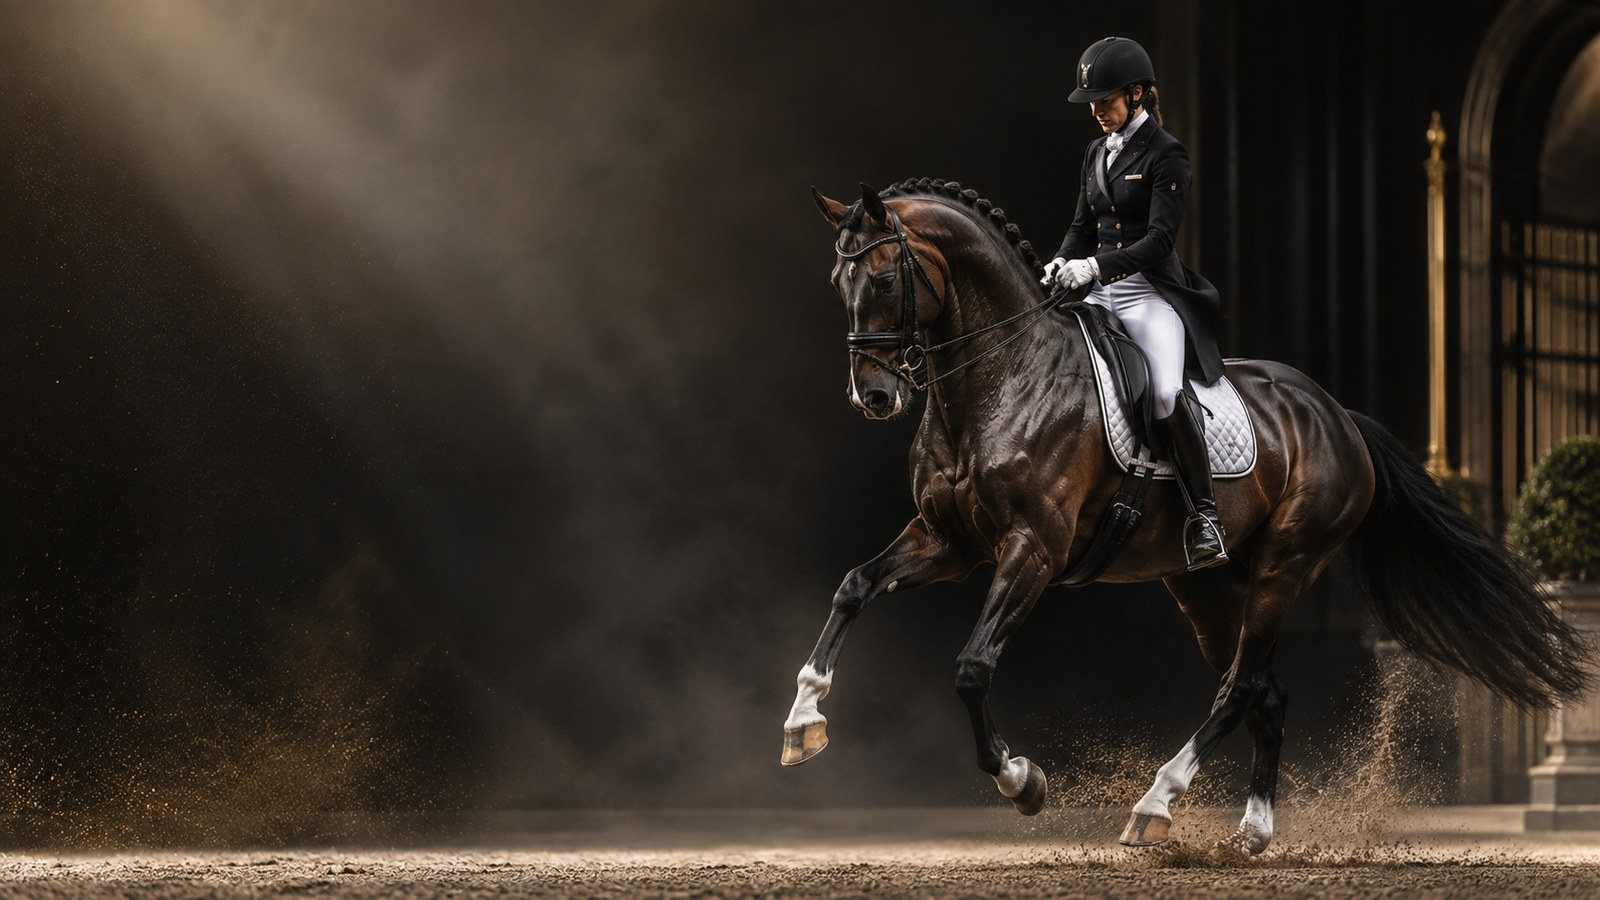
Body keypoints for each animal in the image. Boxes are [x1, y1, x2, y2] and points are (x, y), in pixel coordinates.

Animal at [781, 178, 1592, 855]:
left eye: (884, 279)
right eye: (837, 282)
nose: (874, 397)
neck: (999, 378)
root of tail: (1338, 415)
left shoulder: (1031, 549)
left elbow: (974, 669)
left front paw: (1021, 781)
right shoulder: (949, 541)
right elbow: (854, 586)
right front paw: (802, 722)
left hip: (1285, 568)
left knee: (1237, 689)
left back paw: (1156, 804)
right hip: (1205, 587)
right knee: (1265, 691)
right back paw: (1252, 831)